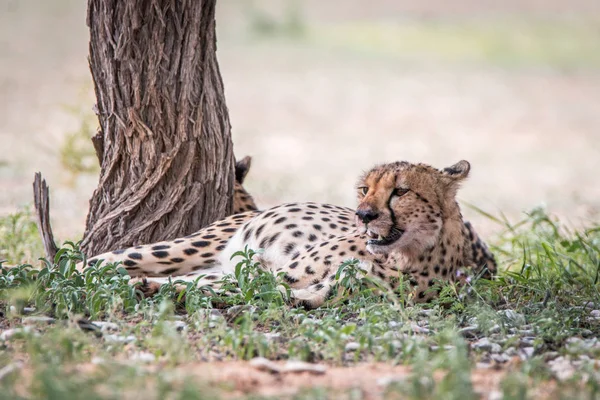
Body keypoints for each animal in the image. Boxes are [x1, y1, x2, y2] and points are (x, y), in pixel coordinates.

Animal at [85, 159, 496, 310]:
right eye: (365, 189)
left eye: (401, 191)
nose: (364, 215)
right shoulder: (281, 272)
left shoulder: (317, 291)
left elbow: (226, 289)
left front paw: (153, 290)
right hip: (191, 246)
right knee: (98, 261)